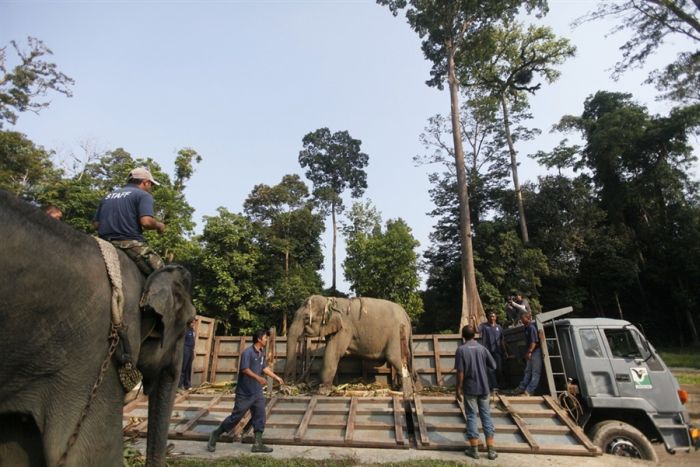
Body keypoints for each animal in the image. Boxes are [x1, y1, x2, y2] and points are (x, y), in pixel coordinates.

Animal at [284, 296, 422, 394]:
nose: (288, 386)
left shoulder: (345, 328)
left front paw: (322, 391)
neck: (331, 302)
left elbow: (333, 352)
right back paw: (413, 389)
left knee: (395, 358)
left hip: (397, 334)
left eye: (307, 318)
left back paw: (403, 391)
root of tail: (406, 315)